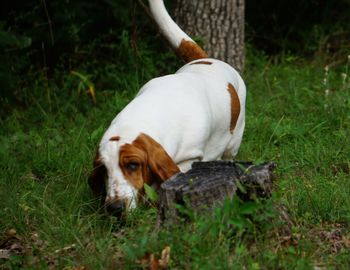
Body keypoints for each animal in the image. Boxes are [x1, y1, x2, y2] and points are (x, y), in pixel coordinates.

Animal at [87, 0, 246, 215]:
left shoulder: (190, 159)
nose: (115, 208)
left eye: (133, 165)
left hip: (234, 138)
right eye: (103, 169)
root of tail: (208, 59)